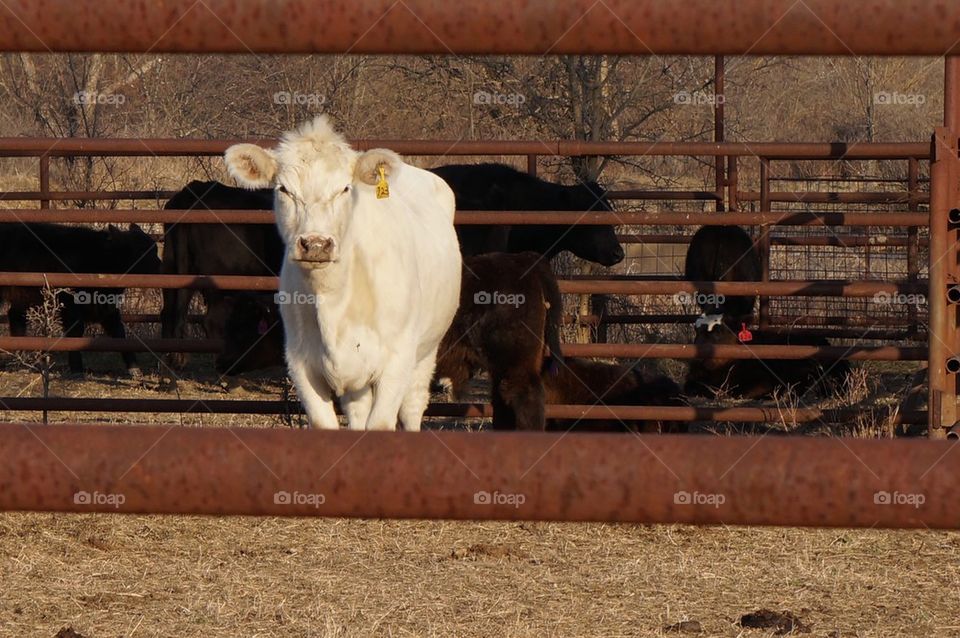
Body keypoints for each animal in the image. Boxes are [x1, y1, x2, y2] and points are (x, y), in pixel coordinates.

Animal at [0, 222, 161, 374]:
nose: (161, 267)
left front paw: (134, 367)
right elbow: (75, 333)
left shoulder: (107, 307)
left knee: (16, 317)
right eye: (142, 251)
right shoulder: (70, 306)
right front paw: (77, 368)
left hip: (22, 297)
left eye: (154, 248)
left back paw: (21, 359)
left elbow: (119, 333)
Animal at [224, 115, 461, 431]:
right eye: (283, 189)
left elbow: (381, 424)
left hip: (426, 349)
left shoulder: (397, 360)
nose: (316, 244)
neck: (334, 302)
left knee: (412, 406)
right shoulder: (301, 363)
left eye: (345, 188)